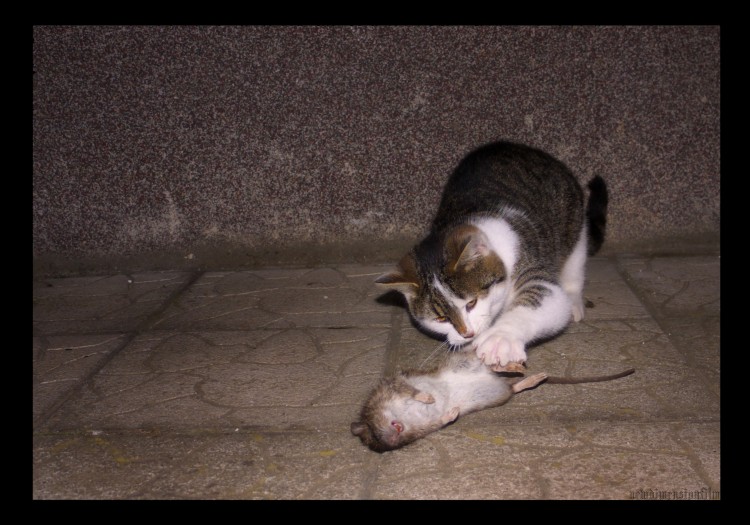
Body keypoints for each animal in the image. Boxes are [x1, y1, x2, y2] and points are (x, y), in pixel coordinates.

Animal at [378, 141, 608, 366]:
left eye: (471, 303)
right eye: (441, 319)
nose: (467, 333)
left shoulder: (526, 256)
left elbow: (545, 295)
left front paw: (500, 338)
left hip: (573, 221)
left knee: (574, 261)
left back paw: (574, 300)